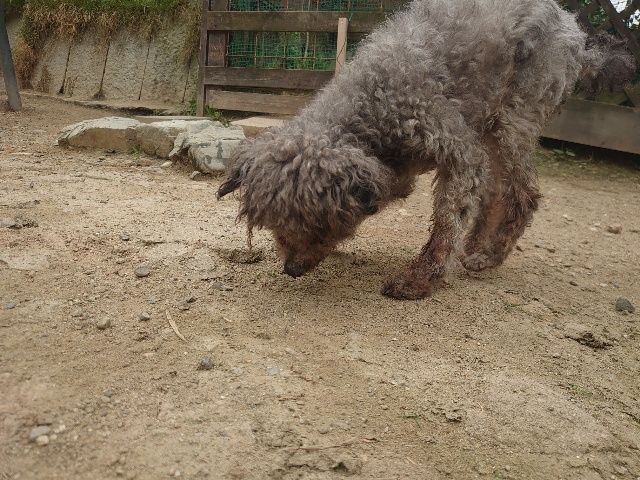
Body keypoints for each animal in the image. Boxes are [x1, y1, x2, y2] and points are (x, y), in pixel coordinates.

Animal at [218, 0, 635, 299]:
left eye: (319, 225)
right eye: (276, 225)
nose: (290, 269)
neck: (372, 108)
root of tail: (573, 27)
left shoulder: (457, 148)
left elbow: (447, 221)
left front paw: (419, 280)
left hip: (513, 118)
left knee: (523, 192)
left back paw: (489, 255)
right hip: (488, 123)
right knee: (494, 192)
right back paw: (476, 245)